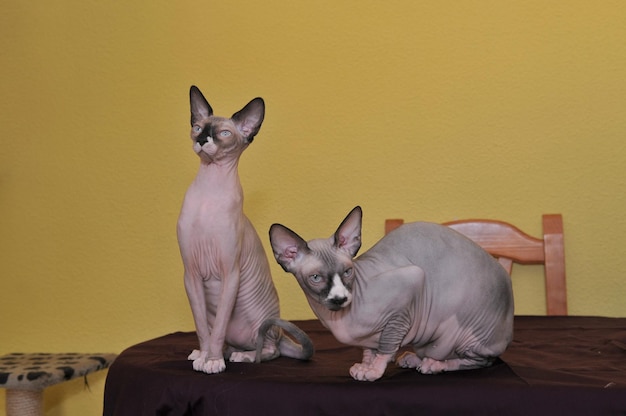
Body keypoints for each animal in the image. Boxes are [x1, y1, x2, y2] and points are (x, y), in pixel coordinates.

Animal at [176, 86, 312, 376]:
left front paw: (213, 361)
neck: (209, 190)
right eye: (197, 128)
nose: (202, 139)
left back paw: (242, 356)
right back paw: (210, 353)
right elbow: (203, 328)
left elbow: (217, 330)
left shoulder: (230, 272)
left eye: (224, 134)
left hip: (259, 321)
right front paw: (206, 355)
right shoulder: (191, 273)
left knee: (270, 349)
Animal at [268, 206, 512, 382]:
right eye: (316, 278)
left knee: (481, 361)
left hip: (470, 337)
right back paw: (414, 358)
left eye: (347, 272)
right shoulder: (367, 337)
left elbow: (387, 343)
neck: (339, 317)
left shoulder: (410, 284)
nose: (340, 298)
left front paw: (374, 370)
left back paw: (435, 364)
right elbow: (368, 348)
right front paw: (366, 364)